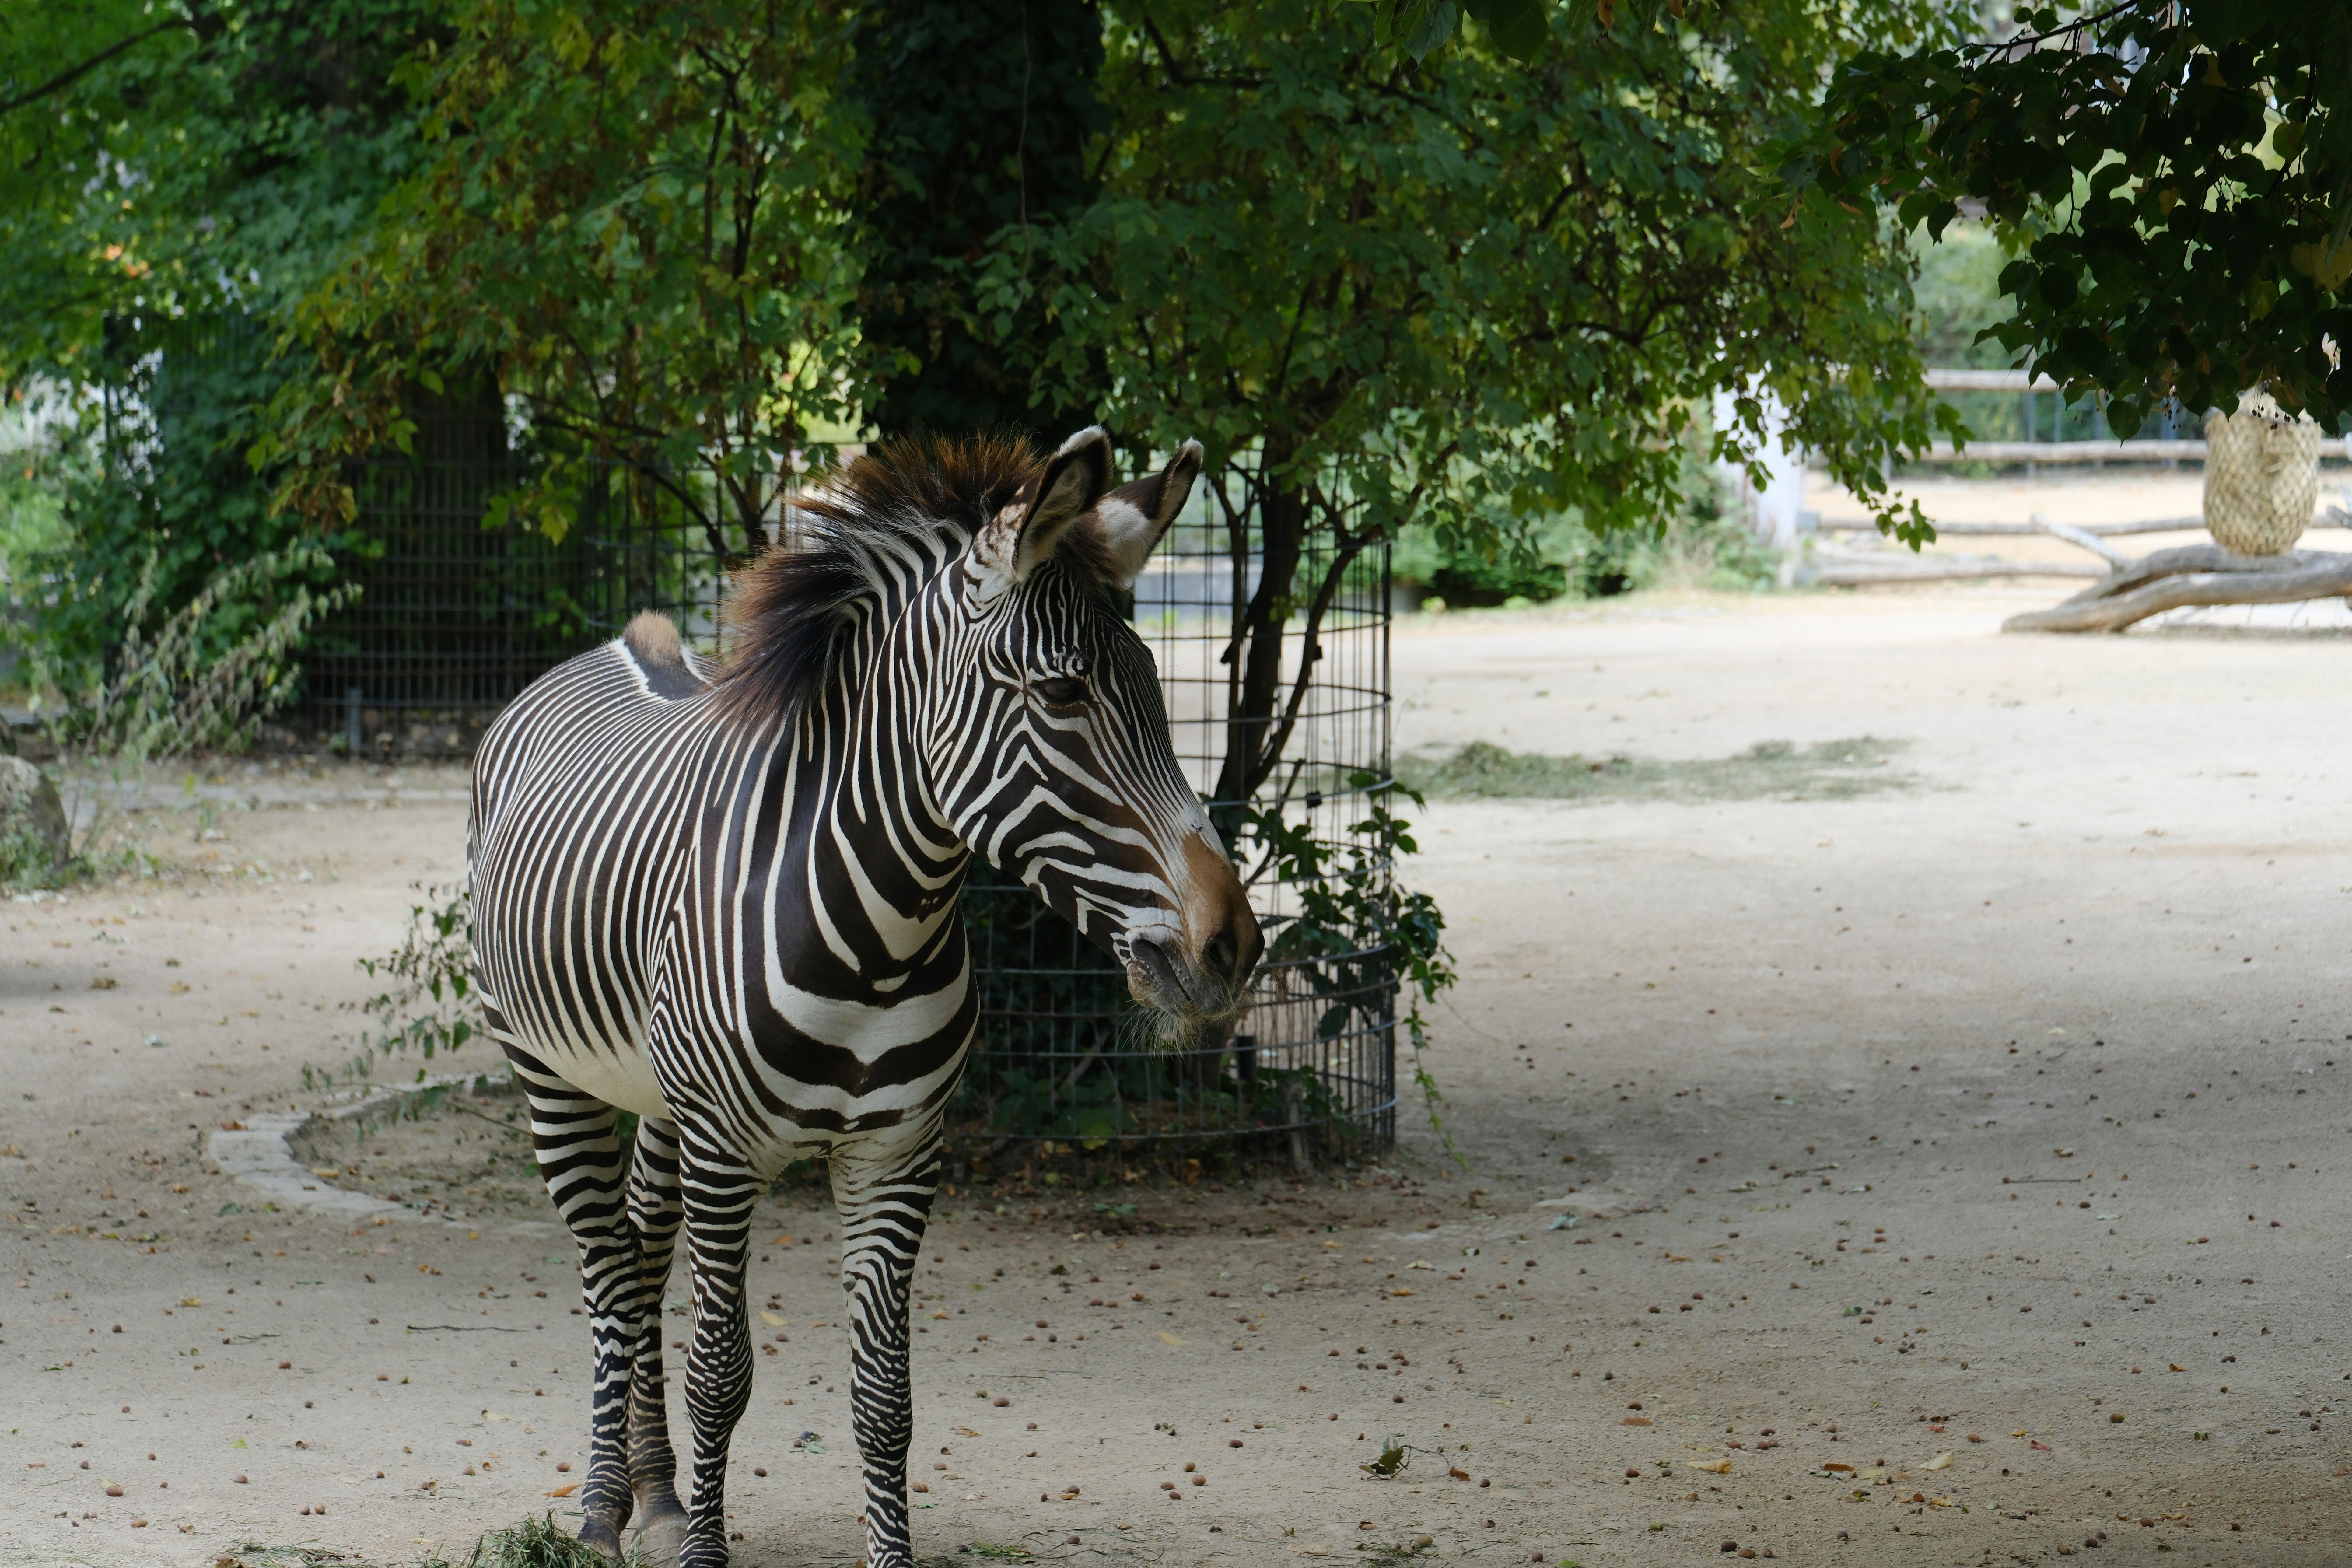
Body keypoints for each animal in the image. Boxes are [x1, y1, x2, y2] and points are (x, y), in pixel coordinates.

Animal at [468, 428, 1261, 1568]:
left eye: (1156, 684)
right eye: (1063, 694)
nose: (1229, 947)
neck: (874, 942)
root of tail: (620, 648)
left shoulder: (899, 1153)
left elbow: (885, 1399)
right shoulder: (726, 1150)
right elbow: (722, 1374)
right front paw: (704, 1548)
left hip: (656, 1096)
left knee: (644, 1251)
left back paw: (656, 1494)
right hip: (550, 1075)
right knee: (607, 1267)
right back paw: (603, 1506)